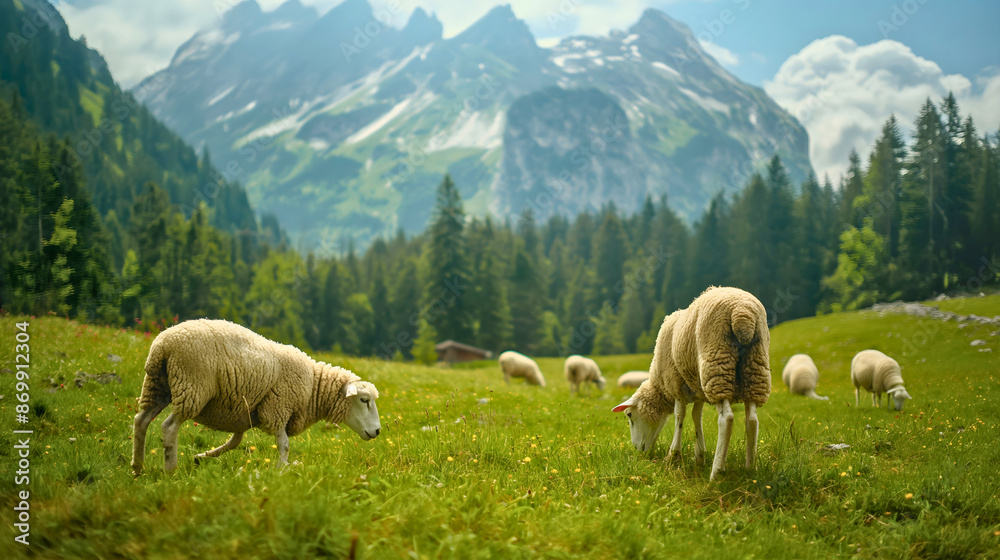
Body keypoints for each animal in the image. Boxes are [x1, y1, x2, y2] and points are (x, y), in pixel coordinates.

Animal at [131, 319, 381, 475]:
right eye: (364, 400)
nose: (378, 431)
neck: (313, 389)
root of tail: (163, 344)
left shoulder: (244, 414)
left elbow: (235, 441)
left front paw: (203, 456)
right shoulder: (278, 407)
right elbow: (284, 444)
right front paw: (282, 469)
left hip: (157, 385)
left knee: (141, 421)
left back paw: (137, 467)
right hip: (192, 386)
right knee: (169, 427)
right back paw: (170, 469)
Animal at [612, 286, 771, 480]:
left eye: (629, 415)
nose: (638, 449)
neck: (661, 388)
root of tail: (742, 313)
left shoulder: (676, 384)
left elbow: (679, 417)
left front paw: (673, 455)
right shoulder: (698, 391)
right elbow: (697, 417)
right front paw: (699, 456)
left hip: (716, 364)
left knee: (727, 418)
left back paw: (716, 472)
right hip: (756, 368)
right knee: (752, 419)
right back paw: (750, 469)